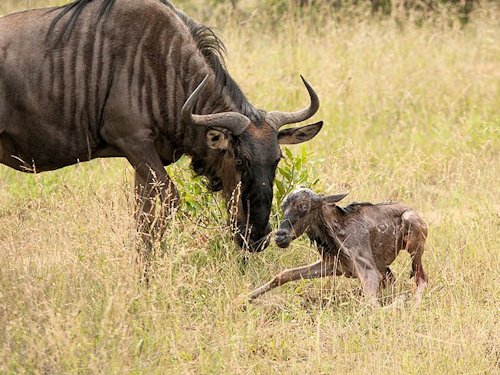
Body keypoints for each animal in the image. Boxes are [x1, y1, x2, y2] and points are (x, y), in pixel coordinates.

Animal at [252, 189, 428, 306]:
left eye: (304, 206)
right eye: (283, 206)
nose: (280, 236)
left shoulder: (369, 272)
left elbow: (371, 304)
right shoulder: (333, 266)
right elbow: (284, 275)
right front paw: (246, 298)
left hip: (411, 230)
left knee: (421, 278)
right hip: (385, 268)